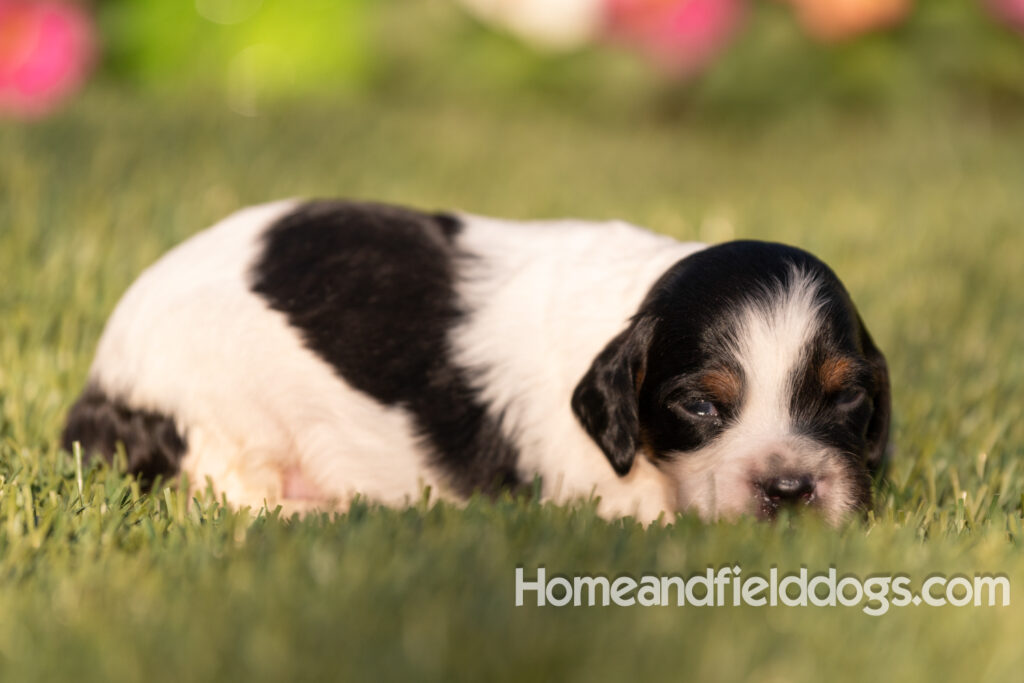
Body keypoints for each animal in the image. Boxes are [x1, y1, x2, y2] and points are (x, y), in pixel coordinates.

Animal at [61, 200, 888, 528]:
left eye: (847, 400)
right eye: (700, 406)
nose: (792, 489)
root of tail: (99, 381)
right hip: (226, 410)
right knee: (228, 497)